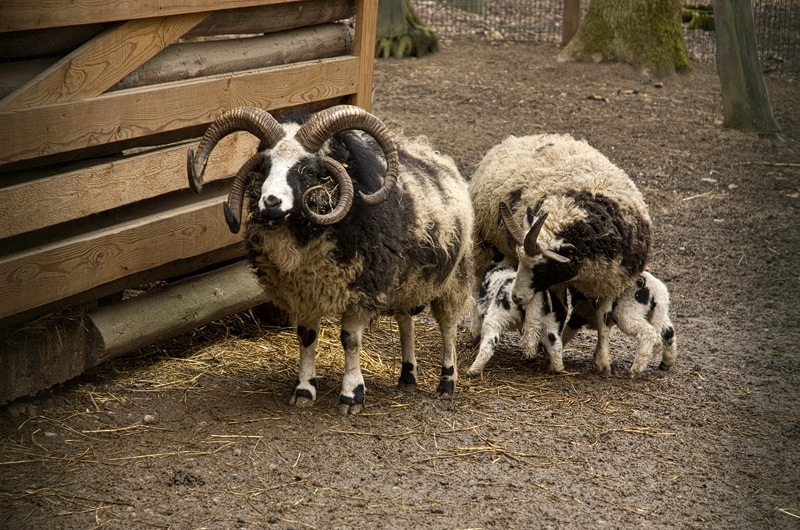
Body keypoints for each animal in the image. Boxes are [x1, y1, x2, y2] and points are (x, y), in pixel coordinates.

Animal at [186, 104, 476, 412]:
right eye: (265, 167)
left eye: (311, 170)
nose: (270, 202)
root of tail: (436, 155)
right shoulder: (303, 291)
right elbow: (306, 337)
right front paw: (304, 390)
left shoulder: (362, 289)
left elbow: (350, 340)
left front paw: (352, 395)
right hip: (405, 282)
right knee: (405, 321)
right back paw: (407, 376)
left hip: (453, 279)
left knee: (448, 328)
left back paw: (446, 383)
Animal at [472, 134, 652, 378]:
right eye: (522, 262)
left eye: (540, 267)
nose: (516, 298)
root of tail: (526, 137)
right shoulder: (557, 283)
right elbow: (560, 311)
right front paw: (549, 354)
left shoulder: (610, 282)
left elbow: (604, 321)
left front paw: (603, 361)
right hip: (482, 241)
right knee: (476, 284)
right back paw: (475, 331)